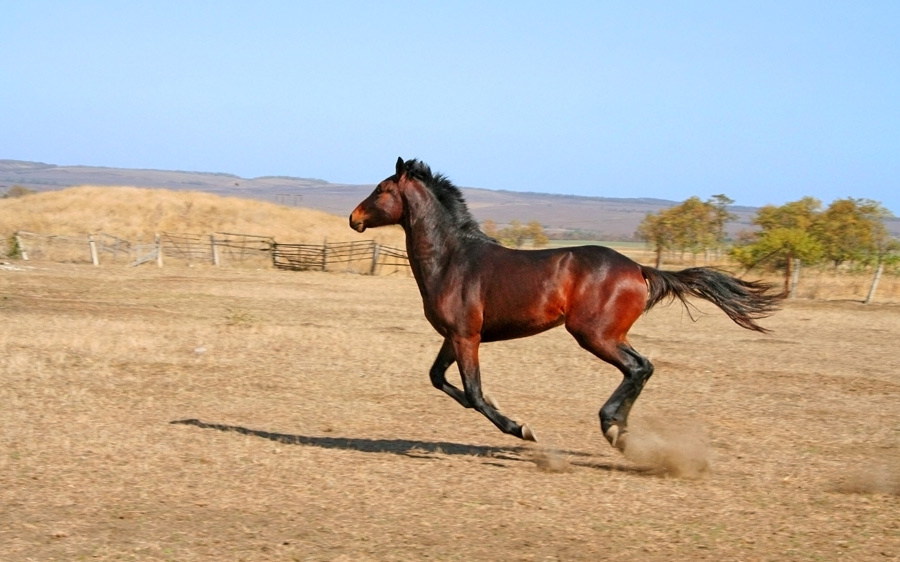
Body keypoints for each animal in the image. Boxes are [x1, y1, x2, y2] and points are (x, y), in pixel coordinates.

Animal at [350, 157, 781, 451]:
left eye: (381, 190)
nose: (354, 218)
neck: (453, 259)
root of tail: (639, 268)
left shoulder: (465, 336)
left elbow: (472, 392)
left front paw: (521, 428)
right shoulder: (453, 336)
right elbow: (440, 379)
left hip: (594, 334)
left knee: (639, 367)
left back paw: (613, 428)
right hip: (606, 334)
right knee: (642, 367)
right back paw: (620, 430)